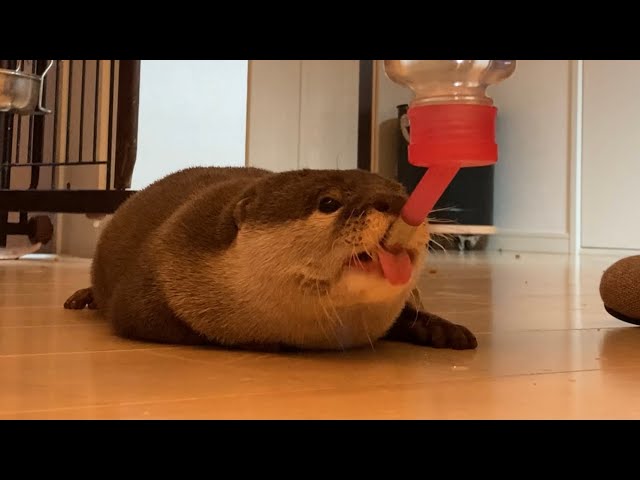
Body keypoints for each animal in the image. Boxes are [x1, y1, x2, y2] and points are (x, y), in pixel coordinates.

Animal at [64, 166, 477, 352]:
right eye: (329, 202)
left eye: (402, 190)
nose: (396, 202)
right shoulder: (140, 301)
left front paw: (442, 329)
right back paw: (82, 297)